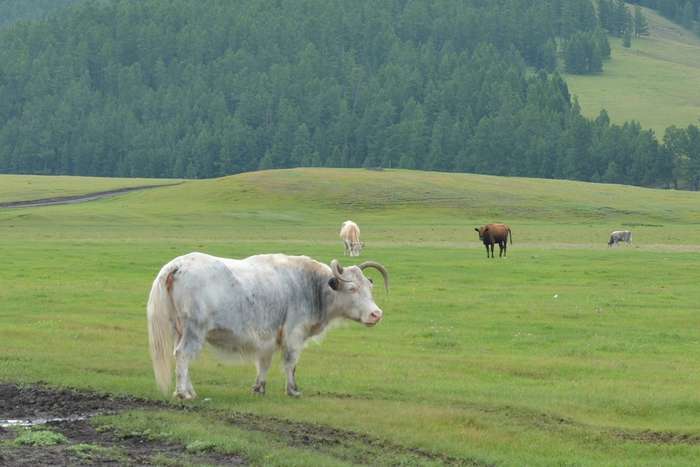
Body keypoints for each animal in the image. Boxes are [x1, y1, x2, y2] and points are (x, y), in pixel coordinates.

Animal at [147, 250, 388, 400]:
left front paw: (259, 388)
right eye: (352, 289)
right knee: (183, 355)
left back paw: (190, 391)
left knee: (181, 357)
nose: (376, 314)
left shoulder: (268, 338)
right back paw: (183, 393)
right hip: (194, 331)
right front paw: (293, 390)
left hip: (179, 330)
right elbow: (290, 363)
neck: (311, 285)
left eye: (369, 287)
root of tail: (177, 265)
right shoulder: (294, 335)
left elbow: (263, 363)